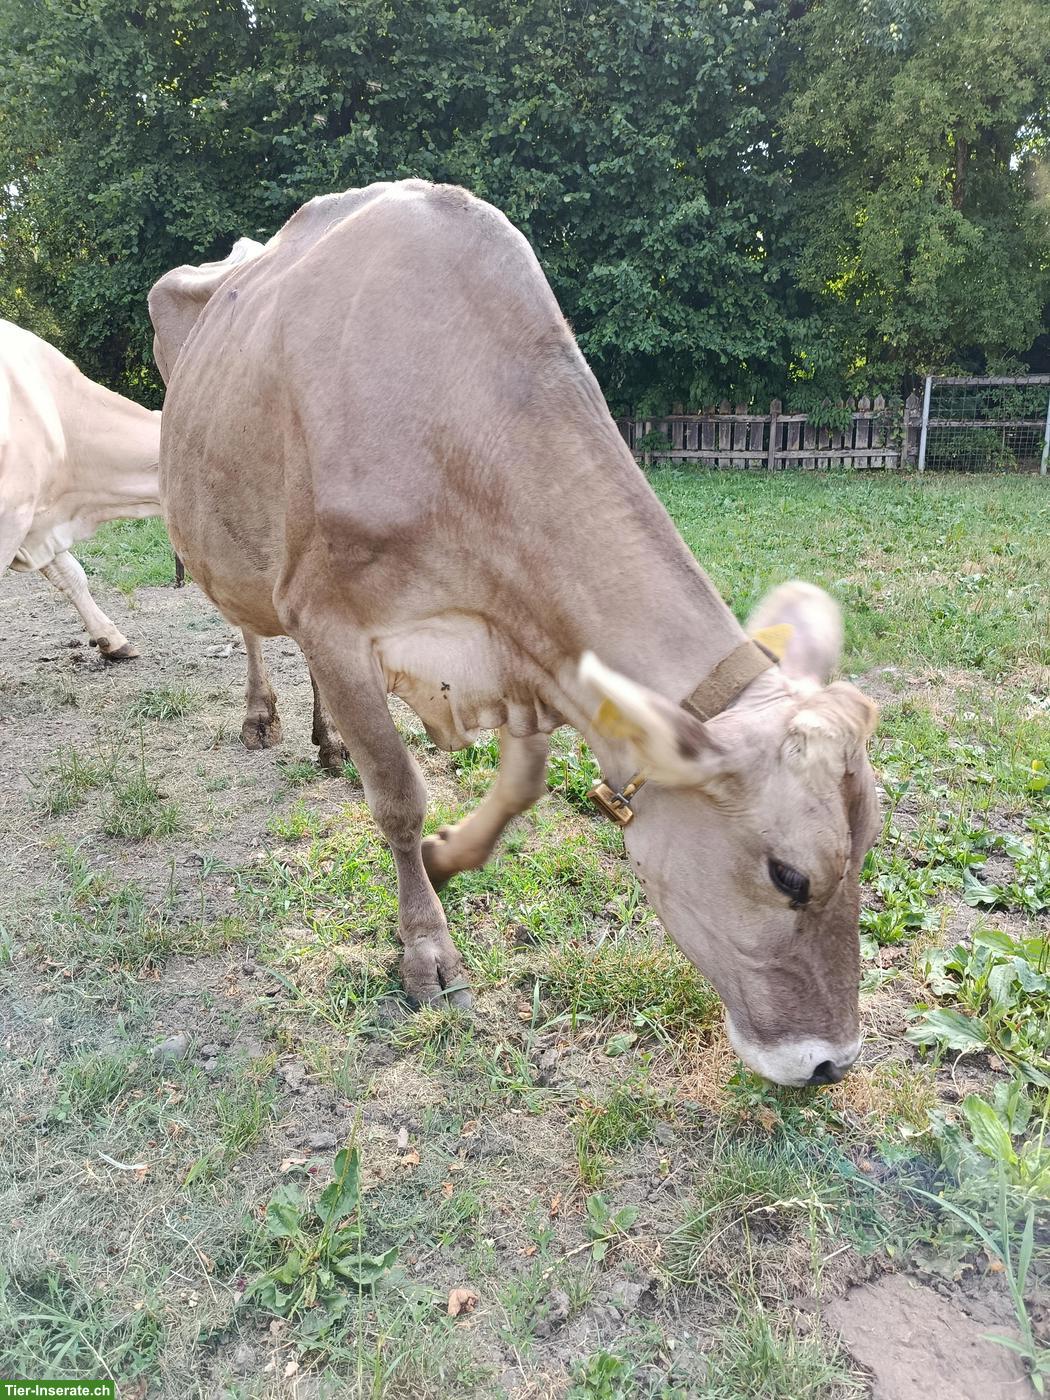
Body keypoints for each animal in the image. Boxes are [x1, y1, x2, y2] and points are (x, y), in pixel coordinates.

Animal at [149, 180, 880, 1088]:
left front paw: (446, 855)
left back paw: (327, 740)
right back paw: (263, 718)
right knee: (250, 625)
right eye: (789, 876)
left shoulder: (523, 648)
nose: (832, 1063)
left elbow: (520, 789)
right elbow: (398, 795)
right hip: (229, 542)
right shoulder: (329, 614)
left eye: (870, 848)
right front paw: (427, 948)